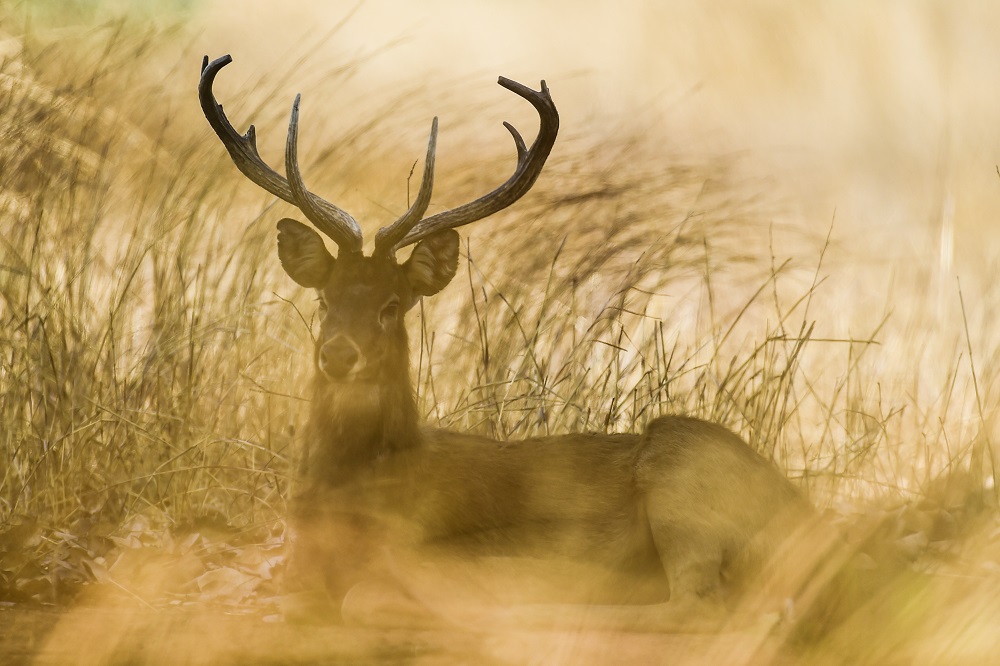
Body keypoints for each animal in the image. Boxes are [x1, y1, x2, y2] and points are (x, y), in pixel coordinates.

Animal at [198, 54, 817, 630]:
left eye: (392, 306)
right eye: (323, 300)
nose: (338, 355)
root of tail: (804, 513)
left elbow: (363, 599)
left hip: (682, 472)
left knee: (699, 607)